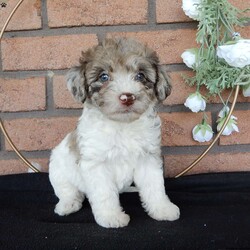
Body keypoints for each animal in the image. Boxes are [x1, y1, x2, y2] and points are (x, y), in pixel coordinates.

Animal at [48, 37, 180, 229]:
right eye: (104, 77)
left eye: (140, 76)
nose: (127, 97)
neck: (122, 125)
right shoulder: (96, 164)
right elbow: (104, 193)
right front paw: (111, 217)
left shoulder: (148, 158)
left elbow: (155, 186)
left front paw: (162, 209)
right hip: (58, 169)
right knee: (67, 190)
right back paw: (68, 204)